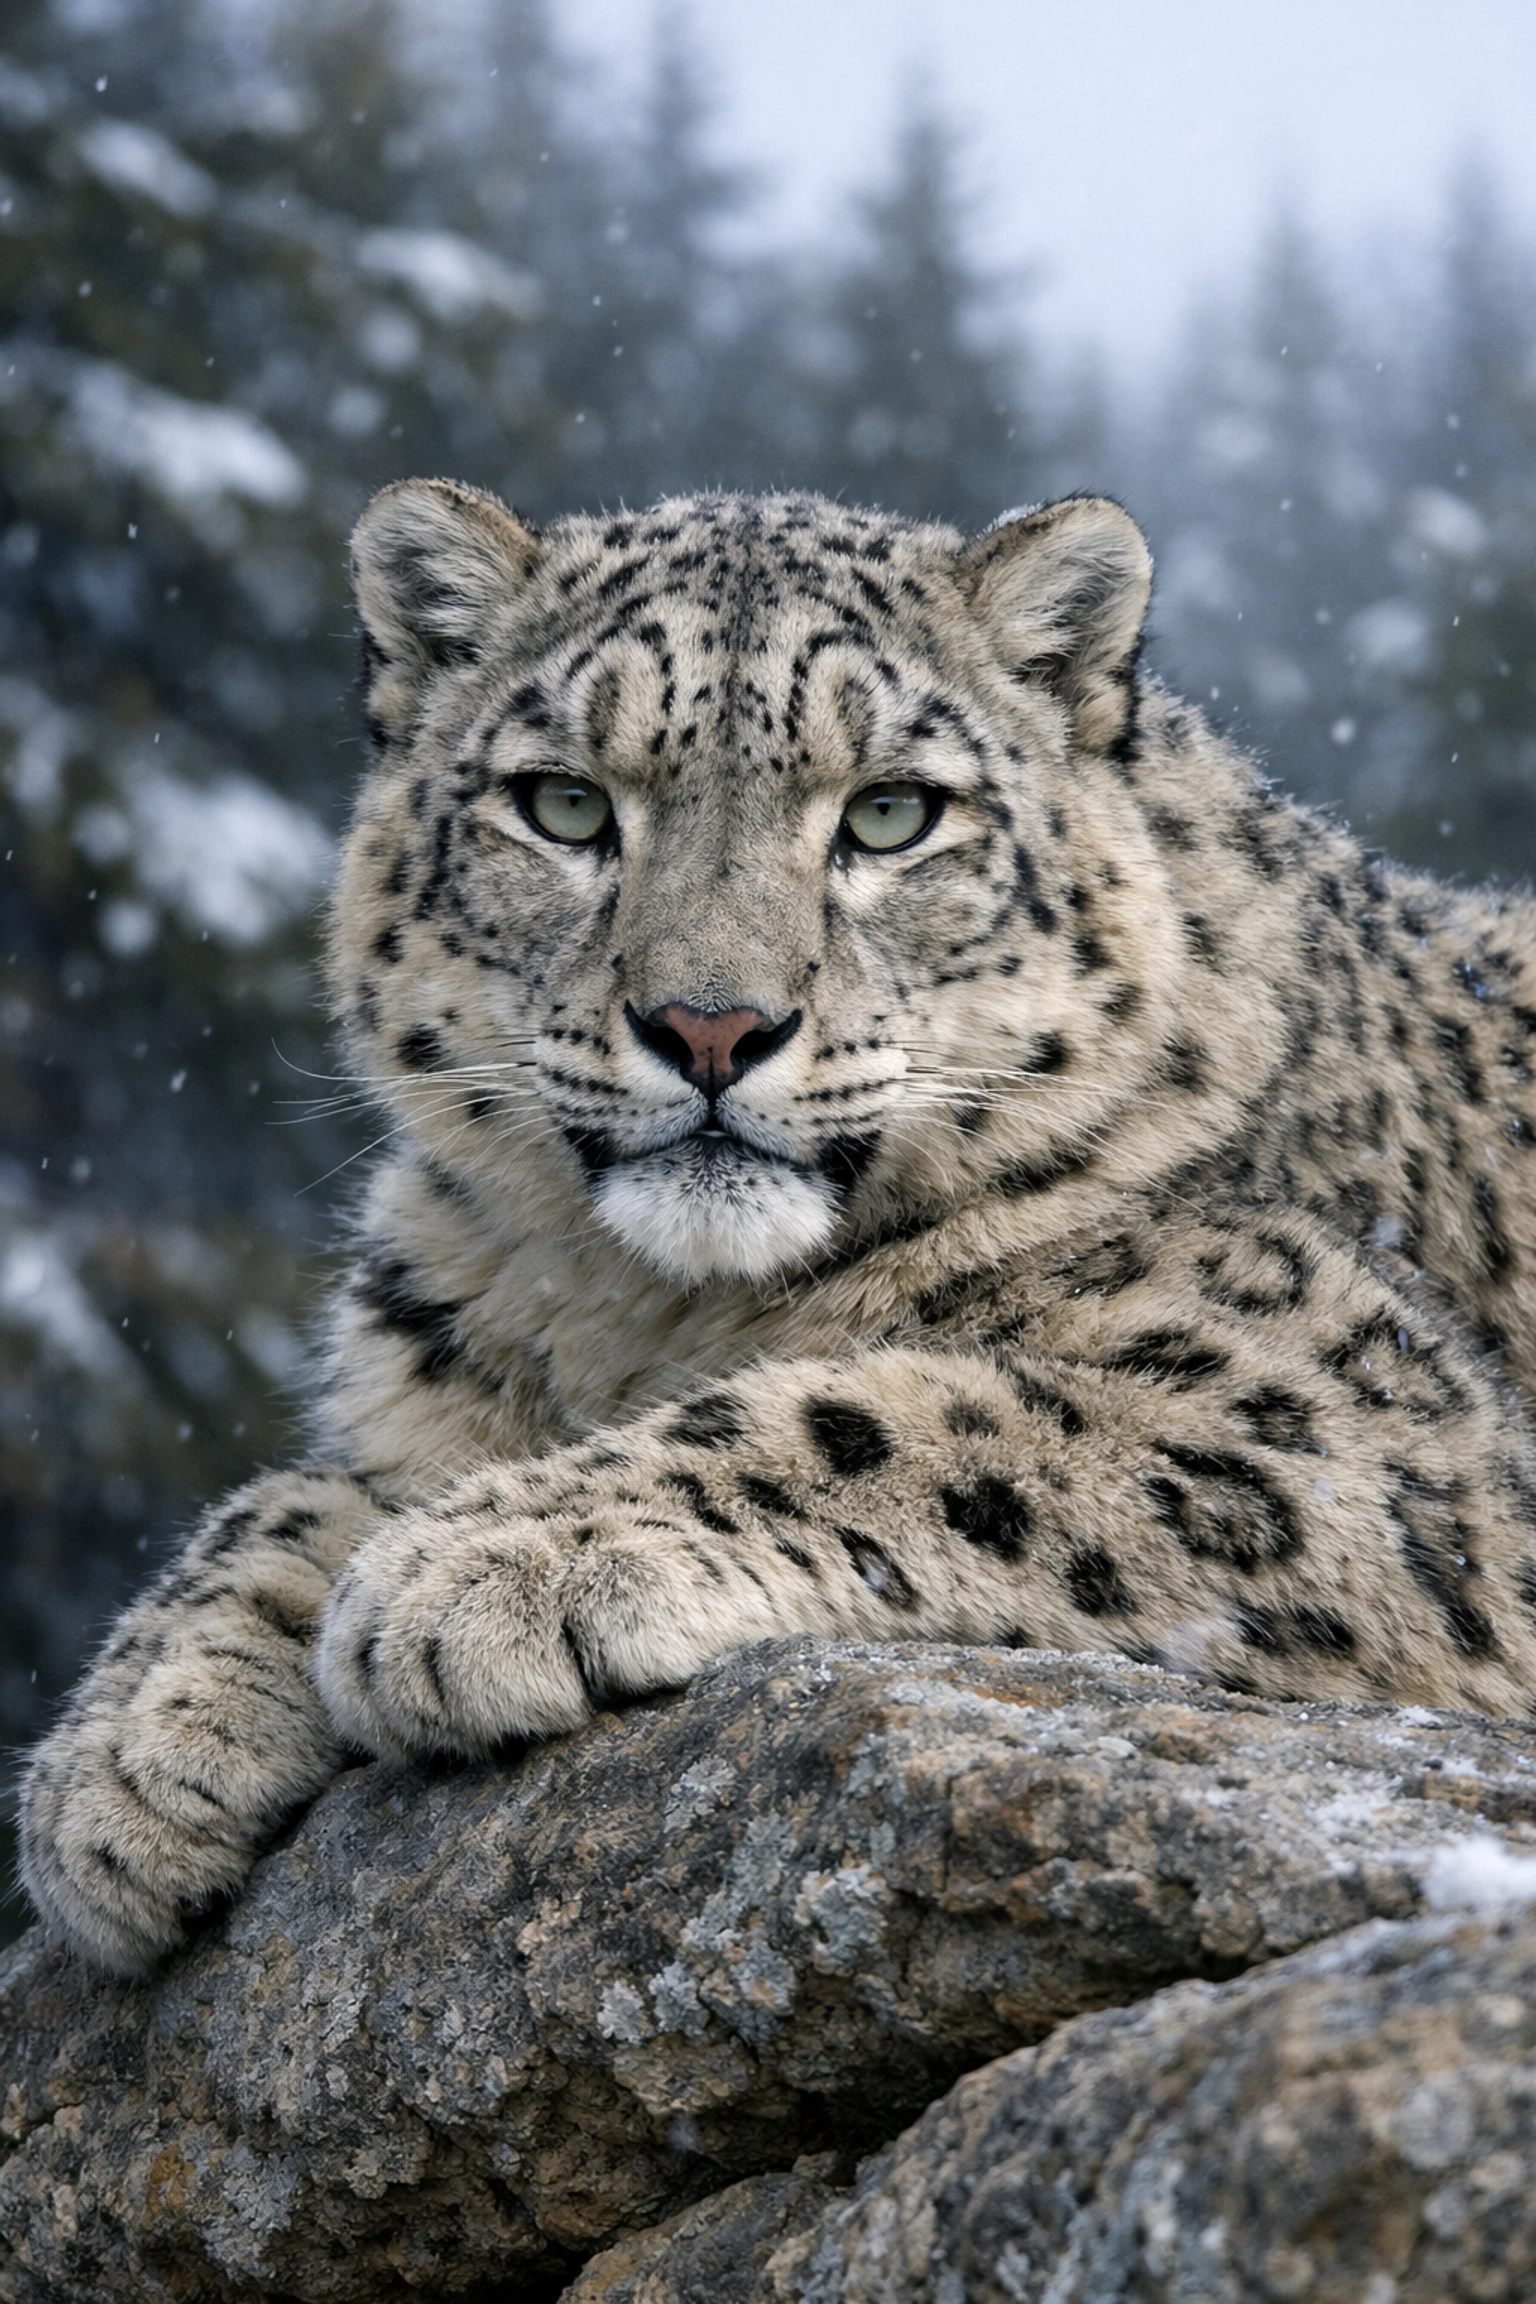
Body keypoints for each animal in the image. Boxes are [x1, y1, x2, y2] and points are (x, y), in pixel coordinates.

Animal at [21, 479, 1536, 1978]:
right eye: (565, 803)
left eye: (892, 813)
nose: (711, 1025)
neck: (641, 1316)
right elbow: (277, 1497)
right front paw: (132, 1753)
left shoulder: (1359, 1424)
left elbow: (902, 1414)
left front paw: (475, 1569)